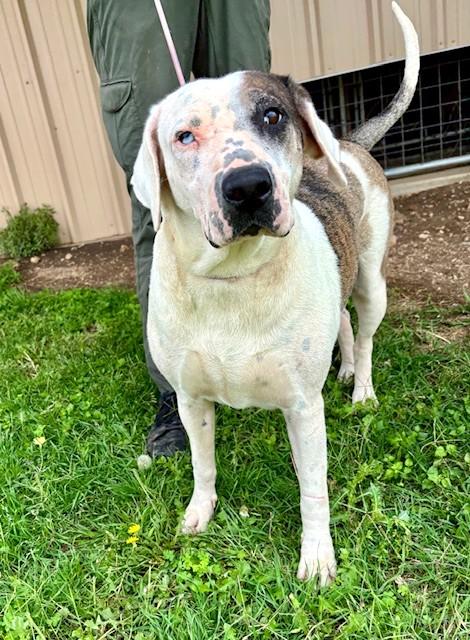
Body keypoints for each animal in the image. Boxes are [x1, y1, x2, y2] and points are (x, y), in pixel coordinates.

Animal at [131, 1, 419, 585]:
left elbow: (313, 489)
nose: (247, 187)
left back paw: (362, 388)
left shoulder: (304, 408)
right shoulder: (191, 399)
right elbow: (202, 464)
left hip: (371, 281)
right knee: (344, 322)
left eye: (272, 116)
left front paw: (317, 557)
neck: (232, 279)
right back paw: (346, 367)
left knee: (366, 330)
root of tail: (347, 143)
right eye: (184, 136)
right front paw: (198, 513)